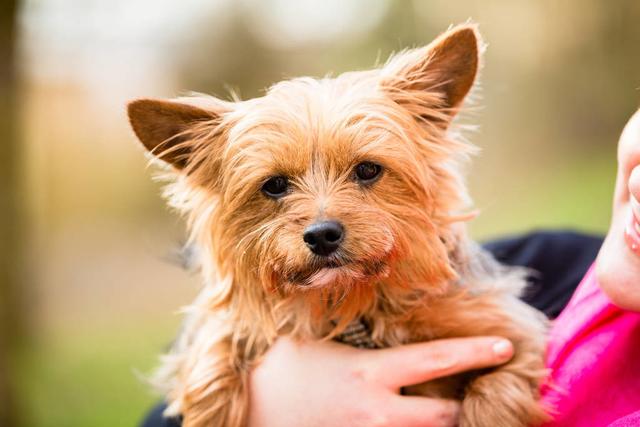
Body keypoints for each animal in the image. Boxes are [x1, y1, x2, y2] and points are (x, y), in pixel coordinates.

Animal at [127, 24, 548, 427]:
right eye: (274, 185)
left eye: (368, 169)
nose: (322, 235)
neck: (351, 302)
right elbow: (218, 334)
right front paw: (210, 403)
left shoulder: (509, 333)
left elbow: (496, 390)